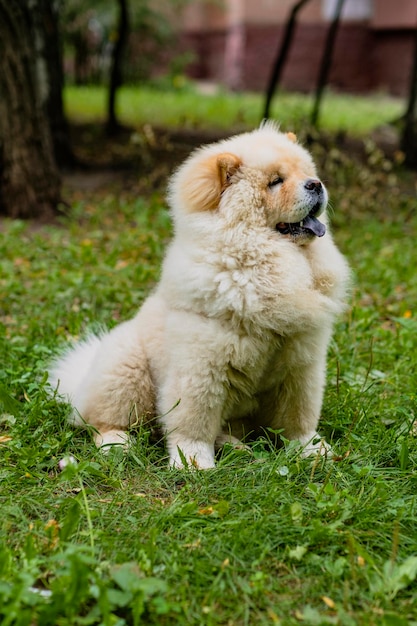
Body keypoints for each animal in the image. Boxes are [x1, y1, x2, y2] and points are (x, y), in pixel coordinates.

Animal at [49, 122, 352, 466]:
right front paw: (193, 463)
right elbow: (194, 421)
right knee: (104, 421)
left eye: (307, 173)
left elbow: (298, 417)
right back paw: (118, 443)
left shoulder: (301, 363)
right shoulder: (203, 365)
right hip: (127, 368)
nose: (316, 184)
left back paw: (235, 446)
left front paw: (311, 450)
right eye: (275, 182)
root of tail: (81, 382)